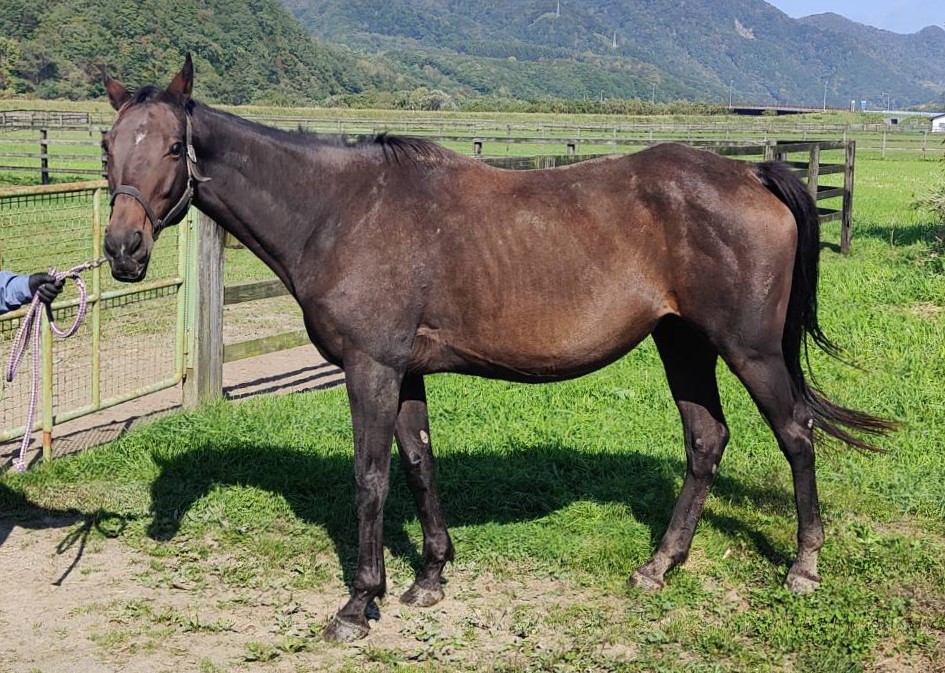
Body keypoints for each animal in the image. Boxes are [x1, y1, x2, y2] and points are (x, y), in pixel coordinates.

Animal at [100, 56, 893, 641]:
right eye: (109, 148)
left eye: (170, 146)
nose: (123, 250)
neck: (340, 209)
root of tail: (751, 170)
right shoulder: (405, 373)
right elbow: (419, 465)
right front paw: (429, 578)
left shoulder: (371, 370)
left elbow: (370, 478)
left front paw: (359, 604)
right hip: (684, 343)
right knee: (706, 440)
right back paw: (658, 566)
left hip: (749, 349)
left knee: (796, 433)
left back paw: (802, 567)